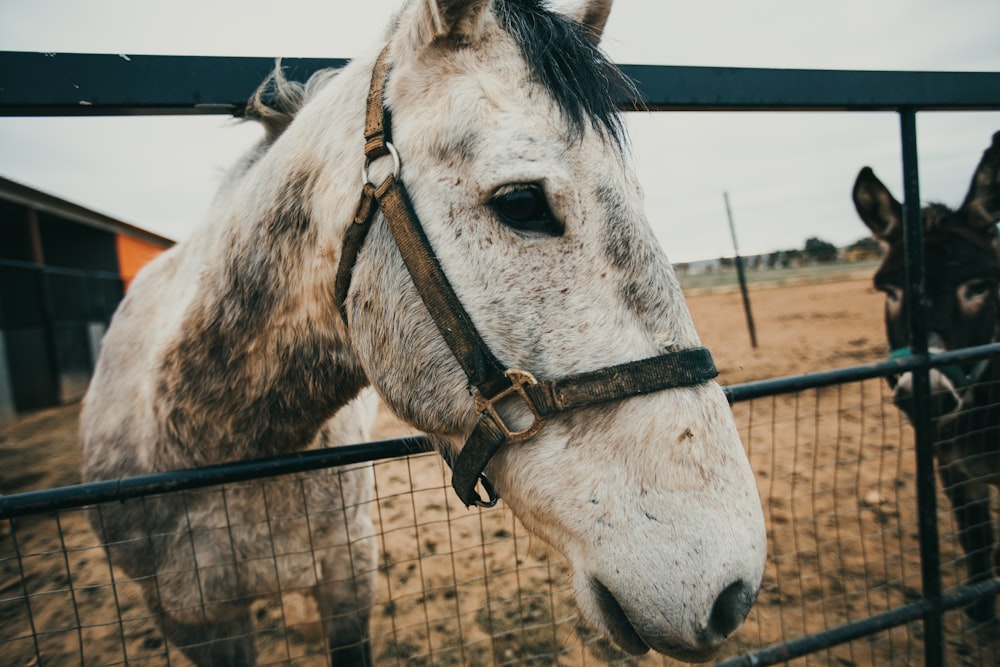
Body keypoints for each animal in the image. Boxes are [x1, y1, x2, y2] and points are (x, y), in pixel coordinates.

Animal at [852, 132, 1000, 628]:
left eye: (980, 286)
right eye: (890, 291)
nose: (927, 396)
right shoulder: (953, 468)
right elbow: (977, 540)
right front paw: (980, 612)